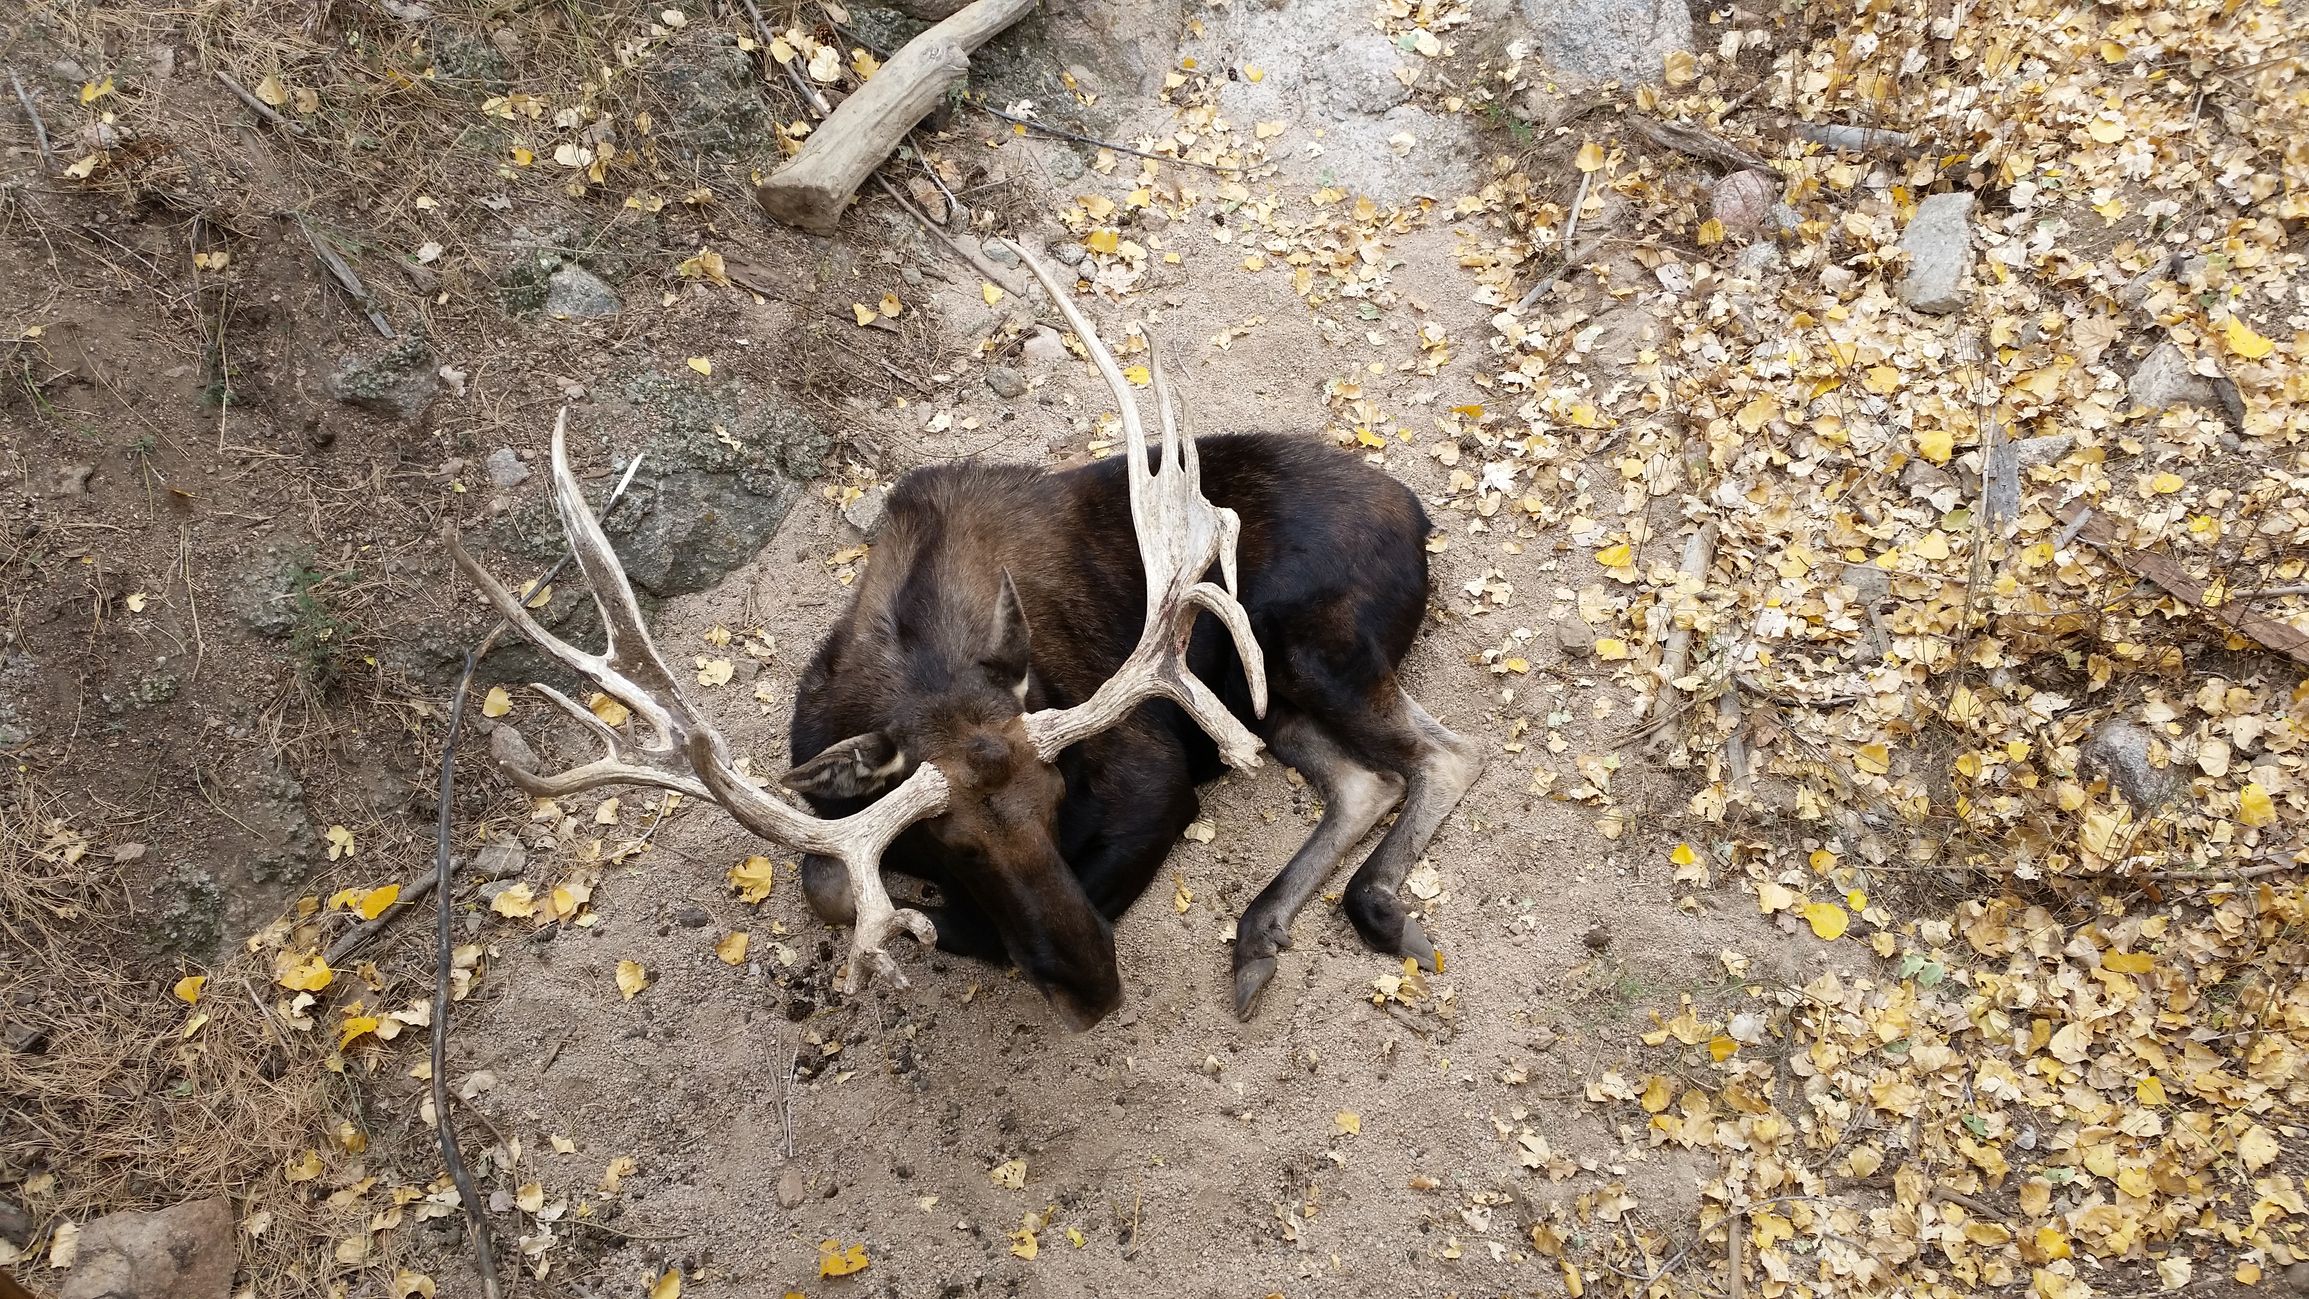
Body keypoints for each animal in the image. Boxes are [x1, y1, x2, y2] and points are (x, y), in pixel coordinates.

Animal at [451, 241, 1482, 1030]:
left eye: (1058, 794)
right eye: (952, 845)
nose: (1095, 991)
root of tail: (1420, 514)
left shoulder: (1151, 779)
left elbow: (917, 914)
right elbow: (831, 882)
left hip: (1310, 646)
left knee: (1445, 751)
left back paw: (1373, 906)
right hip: (1264, 694)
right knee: (1364, 778)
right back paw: (1260, 933)